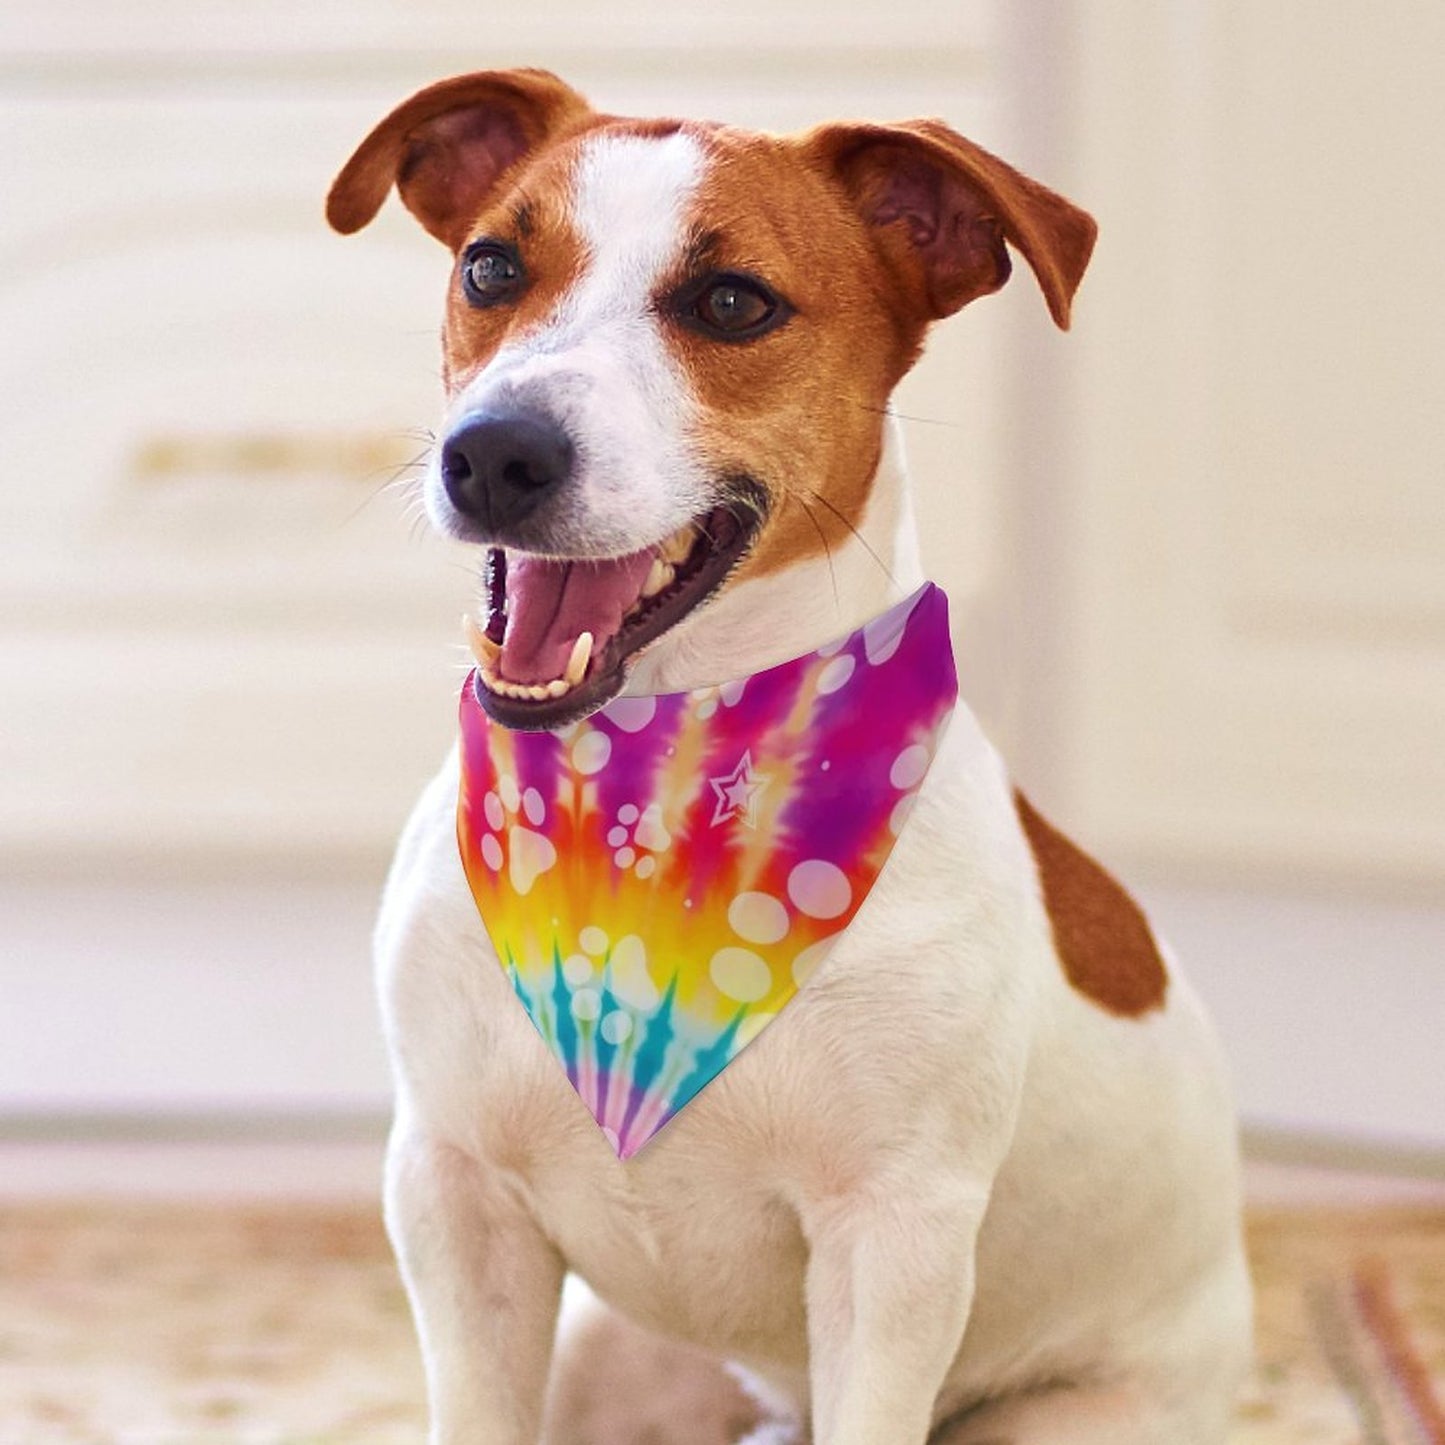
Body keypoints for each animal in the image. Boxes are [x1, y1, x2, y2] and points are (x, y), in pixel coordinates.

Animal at [328, 70, 1254, 1445]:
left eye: (731, 302)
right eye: (491, 266)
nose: (493, 451)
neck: (649, 786)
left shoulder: (894, 1240)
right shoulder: (453, 1195)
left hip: (1065, 1414)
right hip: (607, 1354)